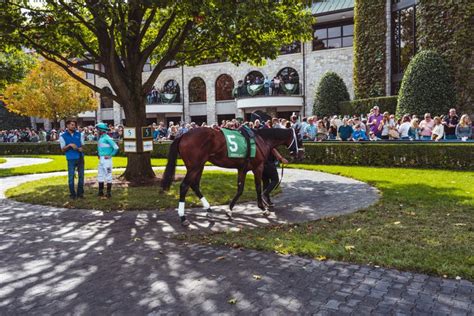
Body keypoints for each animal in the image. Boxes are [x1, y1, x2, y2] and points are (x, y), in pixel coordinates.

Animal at [162, 127, 304, 226]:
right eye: (300, 139)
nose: (301, 155)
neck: (261, 140)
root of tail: (183, 135)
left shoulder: (242, 169)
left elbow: (240, 189)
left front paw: (229, 210)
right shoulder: (258, 167)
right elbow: (258, 188)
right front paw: (263, 208)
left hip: (199, 166)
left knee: (194, 184)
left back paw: (209, 210)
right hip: (195, 166)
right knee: (184, 186)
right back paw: (183, 217)